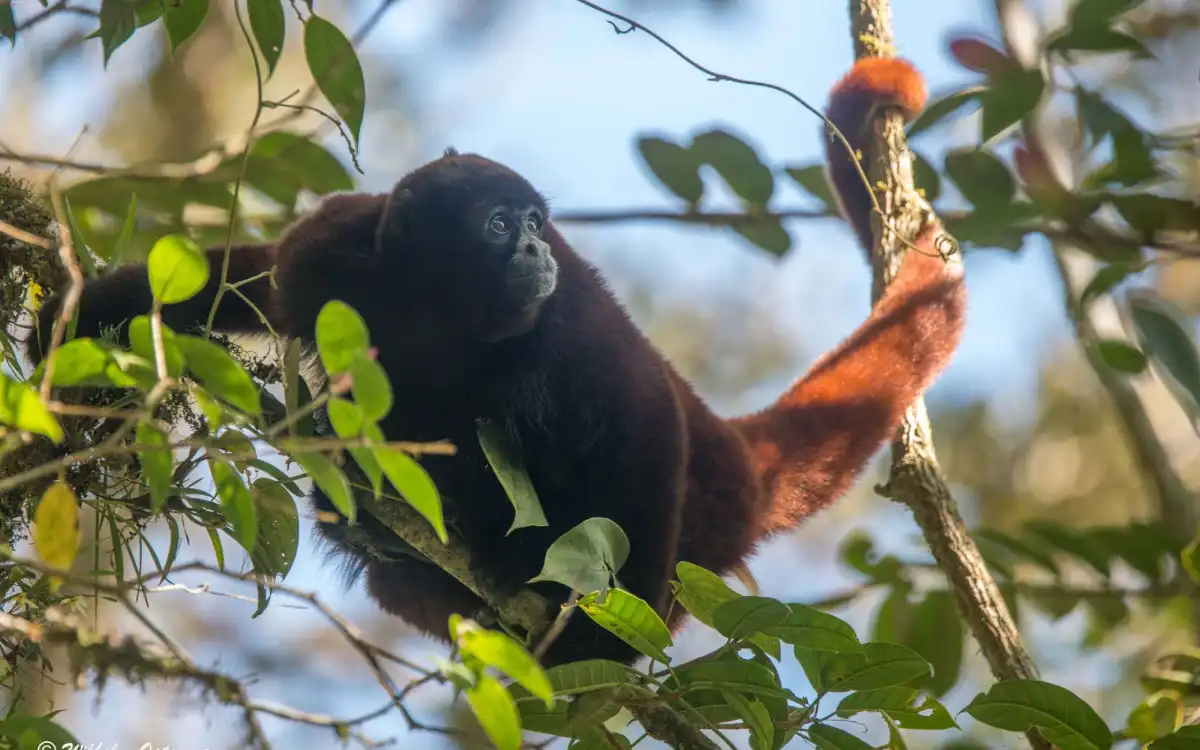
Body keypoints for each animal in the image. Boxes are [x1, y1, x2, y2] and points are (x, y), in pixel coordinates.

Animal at [29, 58, 960, 667]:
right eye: (498, 224)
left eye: (537, 224)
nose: (537, 249)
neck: (440, 310)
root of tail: (735, 461)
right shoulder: (332, 250)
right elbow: (243, 281)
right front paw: (87, 324)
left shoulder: (568, 323)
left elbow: (640, 424)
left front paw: (597, 643)